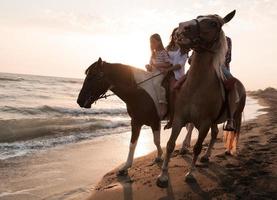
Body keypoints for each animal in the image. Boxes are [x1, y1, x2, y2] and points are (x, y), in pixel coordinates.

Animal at [156, 10, 245, 188]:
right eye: (198, 17)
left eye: (213, 24)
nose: (182, 27)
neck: (196, 87)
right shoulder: (179, 118)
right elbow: (170, 145)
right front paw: (163, 176)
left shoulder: (204, 123)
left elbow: (197, 147)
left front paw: (190, 174)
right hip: (213, 121)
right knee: (215, 134)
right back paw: (206, 156)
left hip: (234, 116)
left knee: (232, 133)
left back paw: (227, 150)